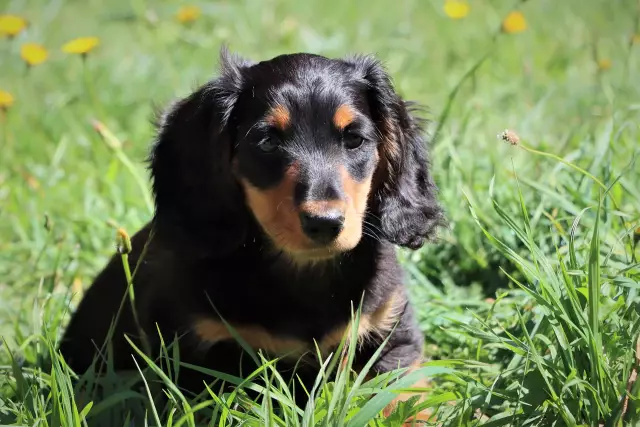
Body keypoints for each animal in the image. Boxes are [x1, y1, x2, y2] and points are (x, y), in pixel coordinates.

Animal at [57, 48, 442, 422]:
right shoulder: (202, 359)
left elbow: (403, 396)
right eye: (268, 142)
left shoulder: (392, 333)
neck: (304, 275)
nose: (325, 223)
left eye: (354, 139)